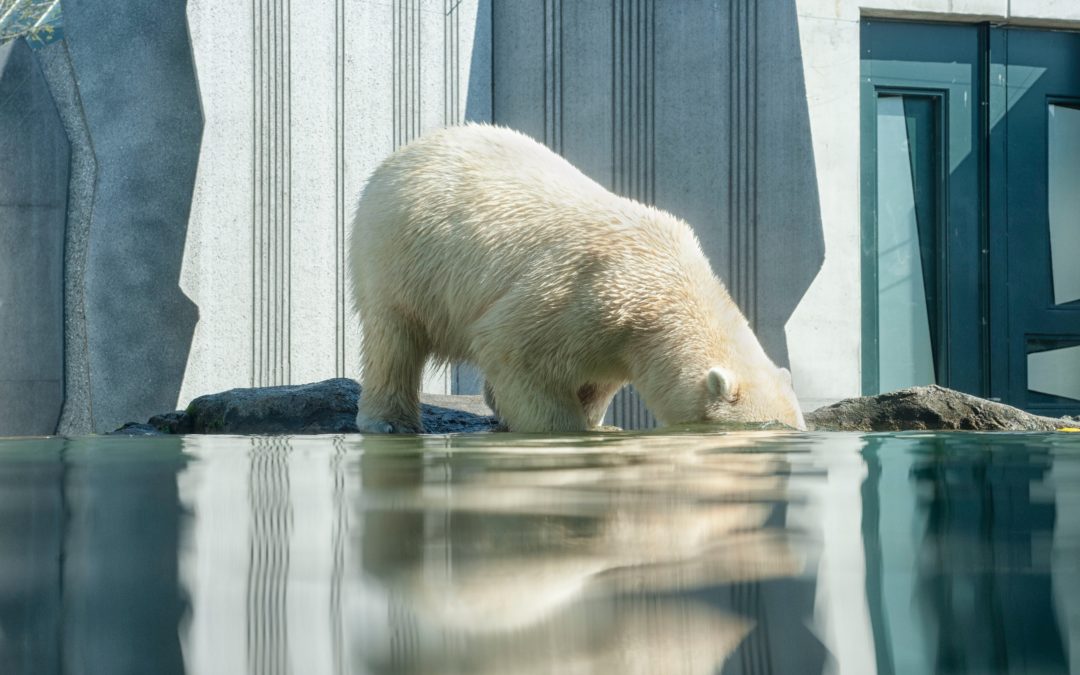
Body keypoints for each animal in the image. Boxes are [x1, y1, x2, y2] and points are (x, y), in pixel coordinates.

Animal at [349, 125, 807, 432]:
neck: (666, 287)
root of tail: (408, 149)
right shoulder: (584, 292)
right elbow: (513, 349)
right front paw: (564, 429)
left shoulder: (616, 339)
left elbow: (596, 380)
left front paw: (595, 423)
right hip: (402, 255)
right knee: (393, 337)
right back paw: (390, 421)